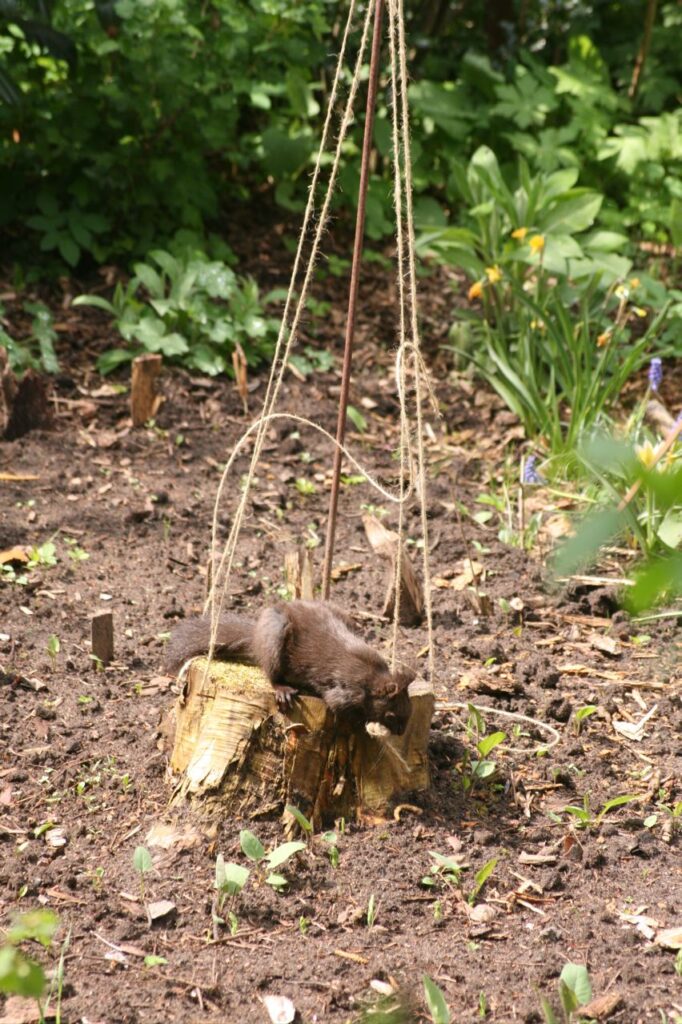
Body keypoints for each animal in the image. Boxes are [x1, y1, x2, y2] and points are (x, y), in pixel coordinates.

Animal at [165, 600, 414, 734]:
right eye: (392, 715)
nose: (401, 733)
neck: (374, 679)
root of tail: (256, 638)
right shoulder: (344, 693)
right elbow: (343, 712)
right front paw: (362, 727)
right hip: (275, 639)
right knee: (271, 673)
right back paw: (282, 690)